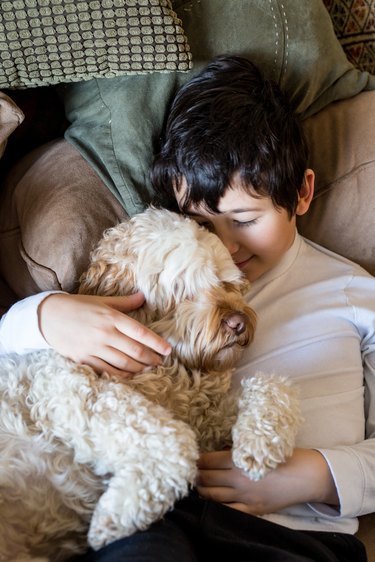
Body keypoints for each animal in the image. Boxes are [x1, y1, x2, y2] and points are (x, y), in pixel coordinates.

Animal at [0, 207, 302, 560]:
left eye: (227, 283)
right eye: (184, 291)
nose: (238, 323)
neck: (171, 371)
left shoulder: (203, 418)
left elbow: (270, 384)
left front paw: (260, 443)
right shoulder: (63, 385)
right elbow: (175, 441)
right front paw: (117, 515)